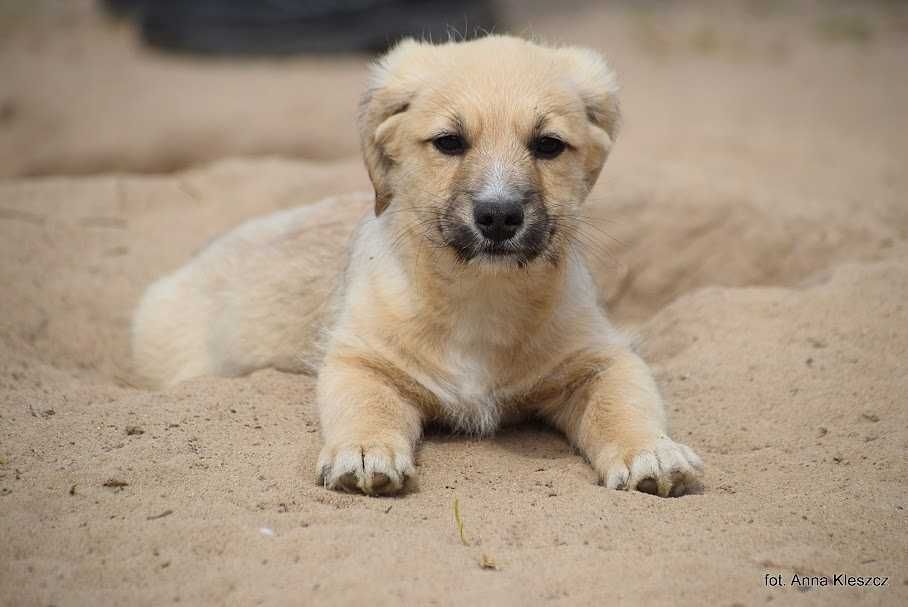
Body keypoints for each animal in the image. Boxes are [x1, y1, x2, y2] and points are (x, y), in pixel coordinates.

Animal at [133, 35, 704, 496]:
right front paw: (365, 454)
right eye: (449, 142)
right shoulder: (361, 360)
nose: (499, 216)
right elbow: (367, 408)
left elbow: (624, 404)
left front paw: (651, 451)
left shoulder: (601, 358)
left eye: (548, 145)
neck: (481, 295)